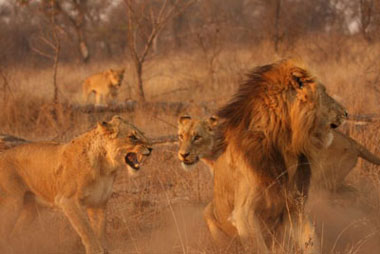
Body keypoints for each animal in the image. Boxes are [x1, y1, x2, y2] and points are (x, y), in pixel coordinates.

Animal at [0, 115, 153, 254]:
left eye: (141, 134)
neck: (106, 168)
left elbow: (99, 228)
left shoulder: (98, 202)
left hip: (31, 209)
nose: (151, 148)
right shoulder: (67, 200)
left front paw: (103, 249)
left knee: (14, 233)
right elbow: (86, 229)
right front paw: (95, 249)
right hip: (12, 203)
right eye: (132, 137)